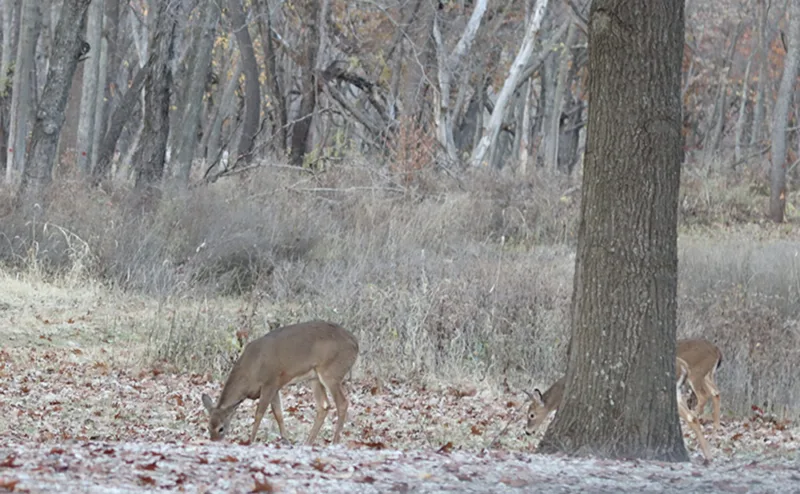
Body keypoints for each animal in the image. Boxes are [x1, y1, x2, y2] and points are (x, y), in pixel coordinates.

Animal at [201, 320, 359, 446]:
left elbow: (259, 413)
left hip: (331, 372)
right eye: (208, 427)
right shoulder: (275, 386)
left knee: (342, 403)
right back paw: (308, 443)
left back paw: (334, 442)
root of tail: (355, 343)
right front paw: (286, 440)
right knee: (324, 406)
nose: (214, 441)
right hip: (314, 377)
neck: (250, 371)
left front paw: (250, 441)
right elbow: (278, 413)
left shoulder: (270, 381)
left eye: (221, 428)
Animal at [524, 338, 723, 461]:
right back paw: (709, 451)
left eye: (531, 414)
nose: (527, 431)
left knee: (698, 405)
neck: (563, 387)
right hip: (685, 388)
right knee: (704, 404)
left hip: (686, 382)